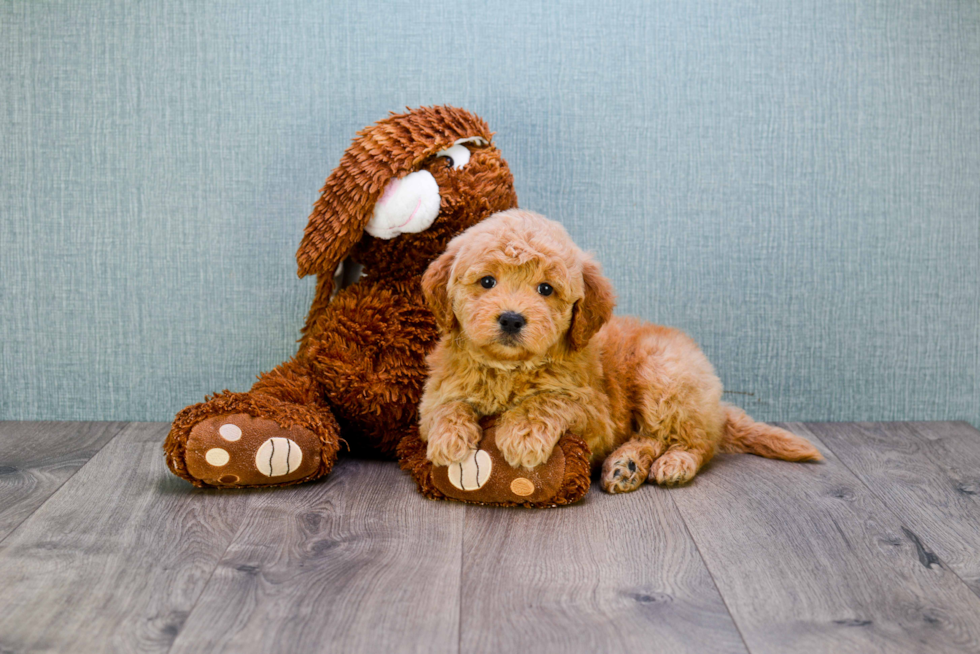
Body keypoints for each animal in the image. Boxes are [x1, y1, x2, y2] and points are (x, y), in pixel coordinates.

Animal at [418, 209, 824, 492]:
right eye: (487, 281)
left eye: (546, 289)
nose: (512, 319)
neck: (510, 370)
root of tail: (717, 406)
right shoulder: (437, 389)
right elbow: (445, 405)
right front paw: (449, 437)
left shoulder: (594, 412)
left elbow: (550, 399)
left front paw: (523, 433)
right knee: (654, 437)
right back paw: (626, 466)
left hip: (664, 378)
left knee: (692, 441)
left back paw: (670, 463)